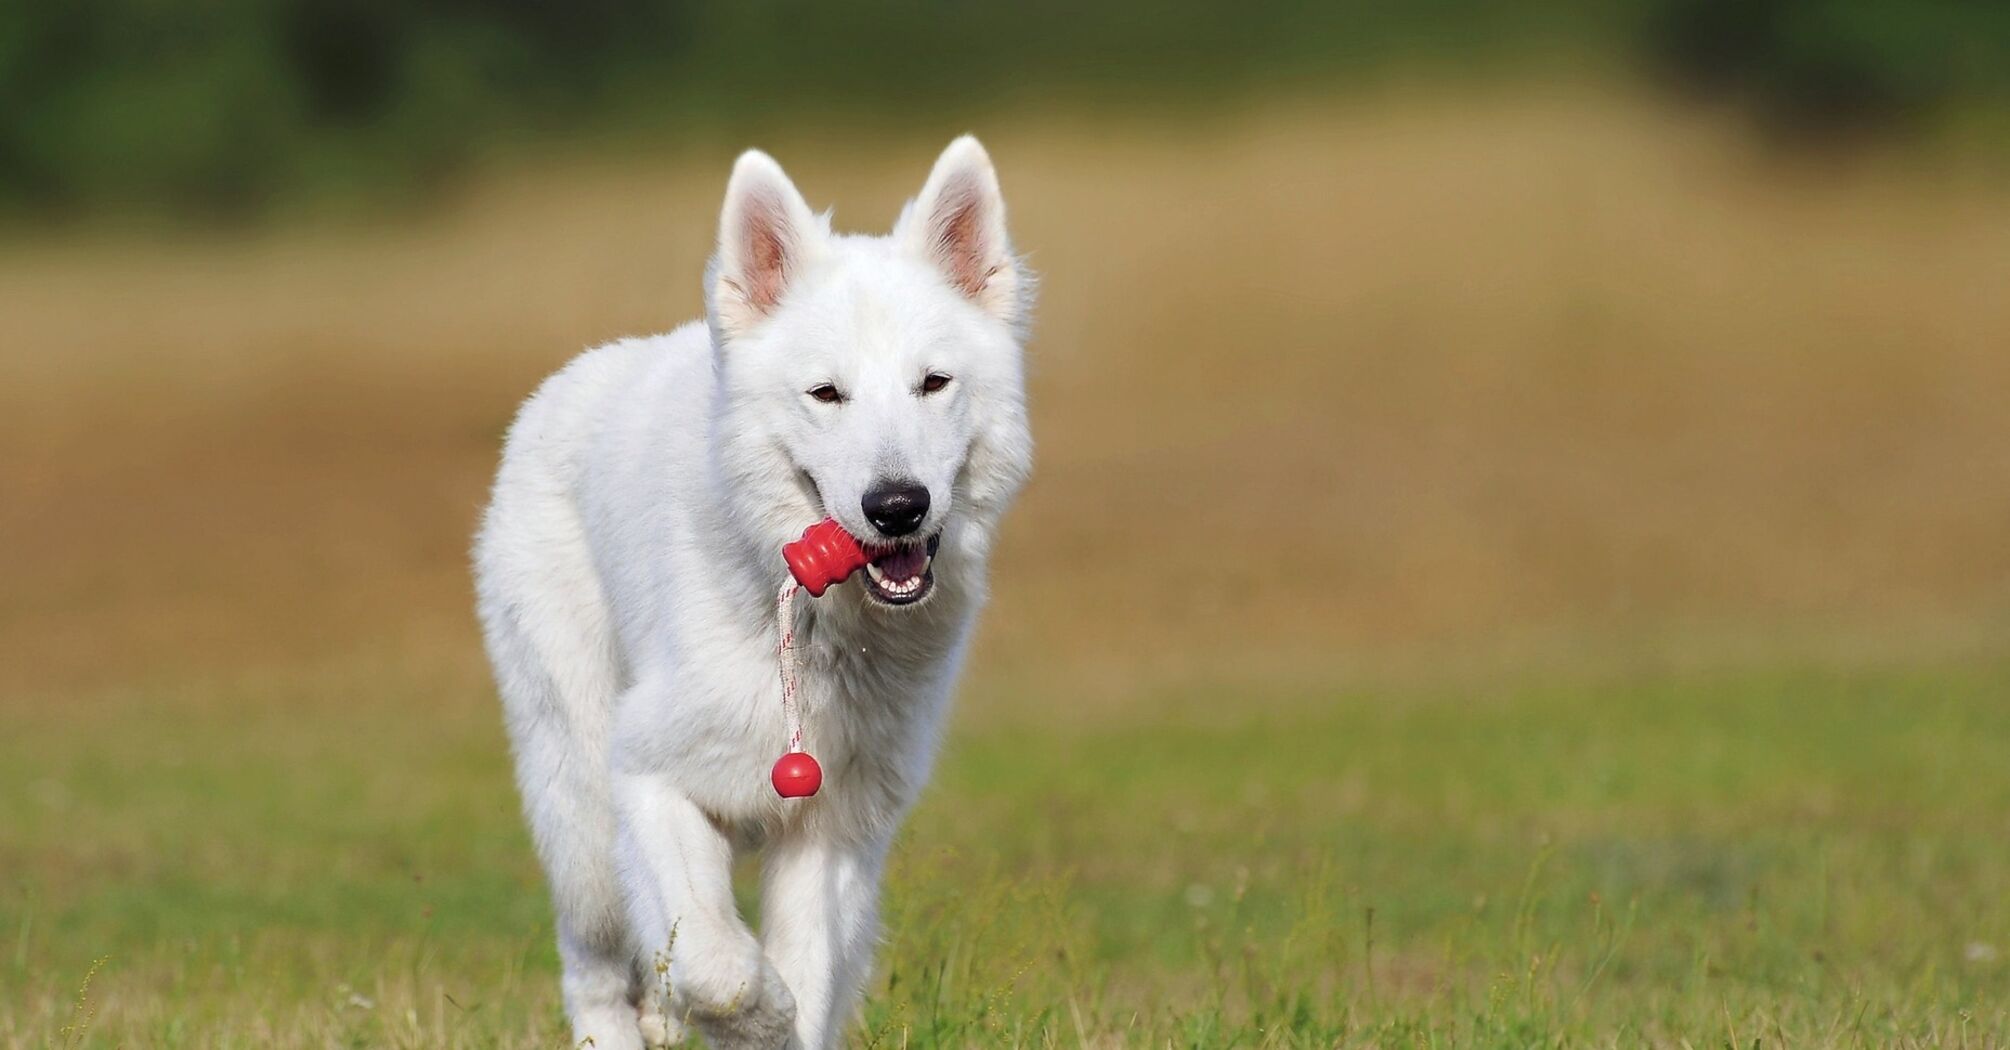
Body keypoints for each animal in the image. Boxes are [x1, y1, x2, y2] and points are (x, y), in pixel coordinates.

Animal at [474, 138, 1037, 1045]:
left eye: (934, 383)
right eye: (827, 394)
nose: (897, 505)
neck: (811, 630)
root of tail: (561, 386)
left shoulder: (832, 833)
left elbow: (800, 971)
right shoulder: (649, 778)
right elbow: (724, 969)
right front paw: (759, 1014)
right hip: (584, 821)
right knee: (593, 973)